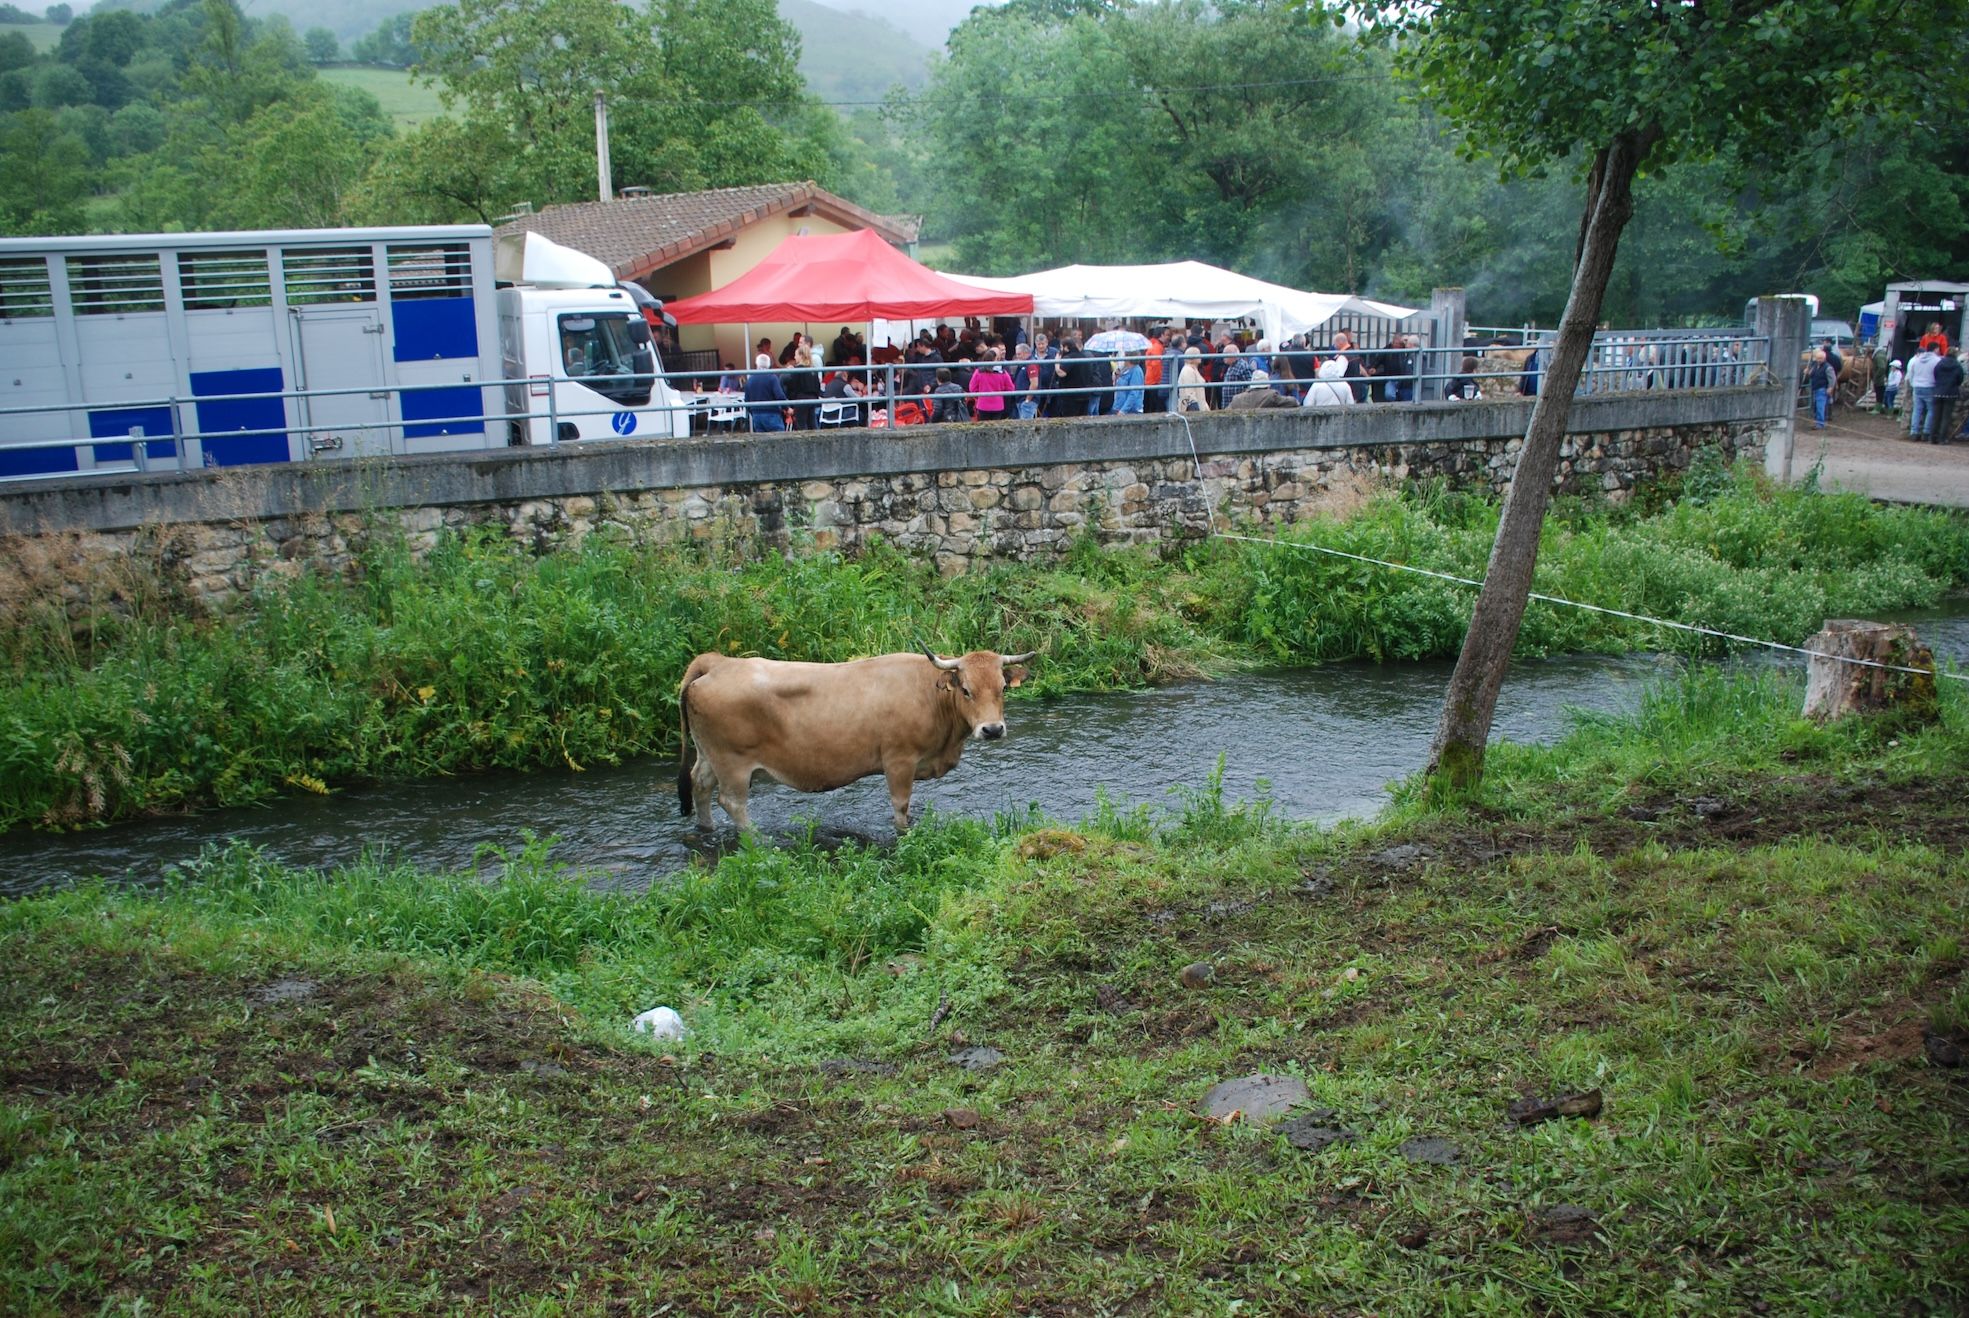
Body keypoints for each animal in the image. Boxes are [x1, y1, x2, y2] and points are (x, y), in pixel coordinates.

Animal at [681, 646, 1031, 831]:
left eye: (1002, 688)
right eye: (966, 690)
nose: (992, 729)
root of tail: (718, 662)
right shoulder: (899, 760)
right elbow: (900, 805)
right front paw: (904, 833)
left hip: (709, 755)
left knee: (700, 784)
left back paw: (707, 828)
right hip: (733, 762)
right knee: (732, 802)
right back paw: (758, 840)